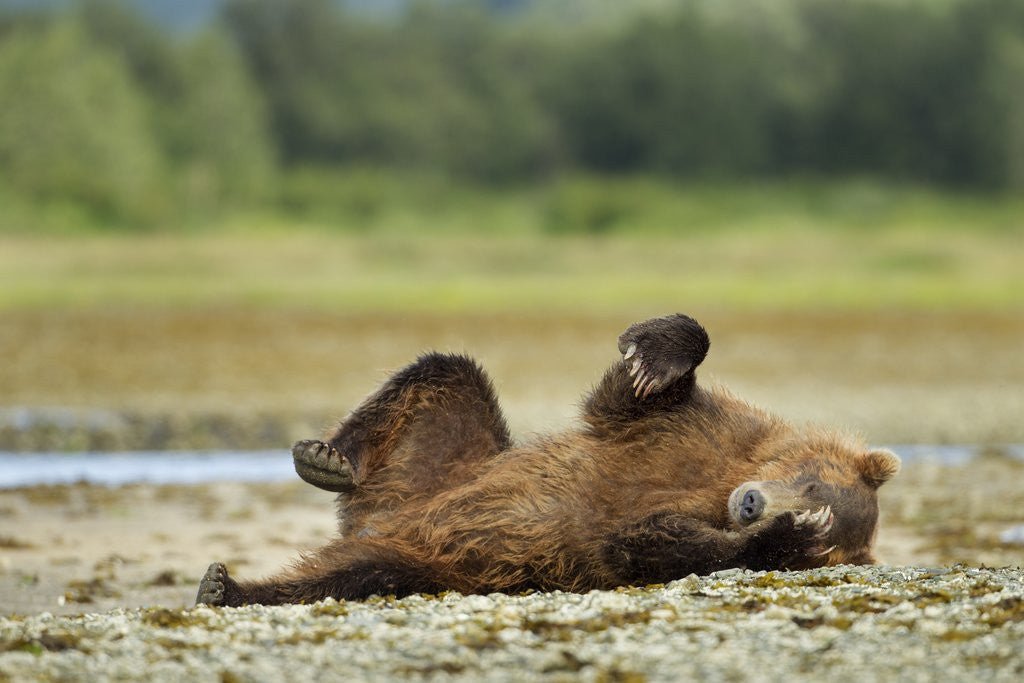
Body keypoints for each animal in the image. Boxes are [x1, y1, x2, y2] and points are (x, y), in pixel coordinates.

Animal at [196, 313, 900, 606]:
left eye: (822, 532)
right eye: (810, 481)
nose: (755, 503)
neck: (722, 477)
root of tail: (375, 519)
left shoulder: (610, 543)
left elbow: (649, 544)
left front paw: (773, 537)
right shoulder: (698, 430)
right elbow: (634, 396)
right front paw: (652, 353)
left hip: (429, 563)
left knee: (351, 577)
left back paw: (228, 588)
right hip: (440, 465)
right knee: (446, 371)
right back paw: (326, 458)